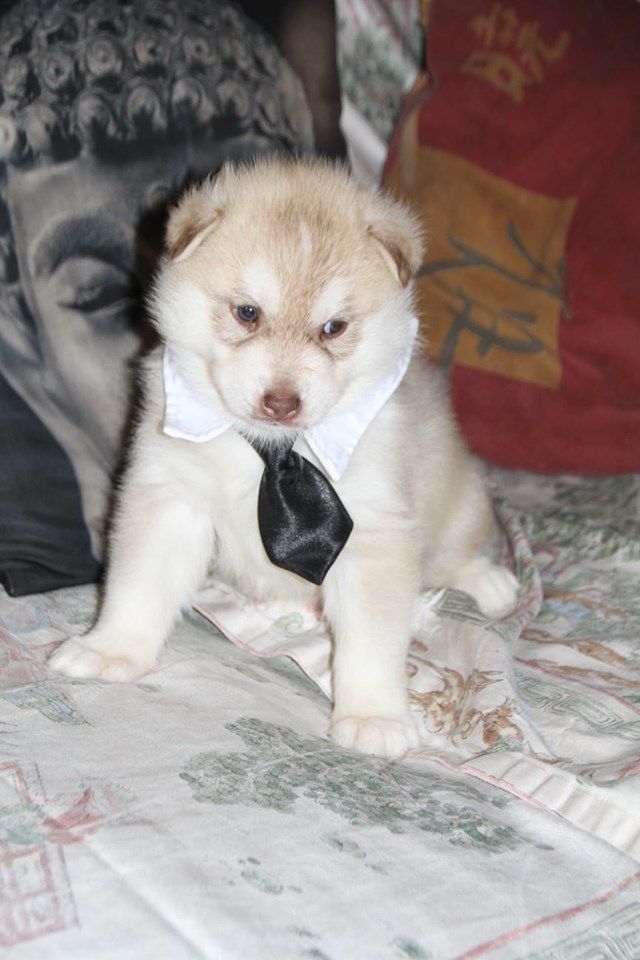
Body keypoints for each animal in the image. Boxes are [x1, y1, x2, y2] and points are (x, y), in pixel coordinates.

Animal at [50, 158, 518, 758]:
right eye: (248, 313)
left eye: (333, 327)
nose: (281, 401)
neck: (269, 453)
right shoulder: (170, 496)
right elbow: (138, 584)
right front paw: (111, 649)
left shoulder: (375, 528)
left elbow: (372, 637)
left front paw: (374, 716)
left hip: (462, 501)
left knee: (453, 553)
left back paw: (490, 580)